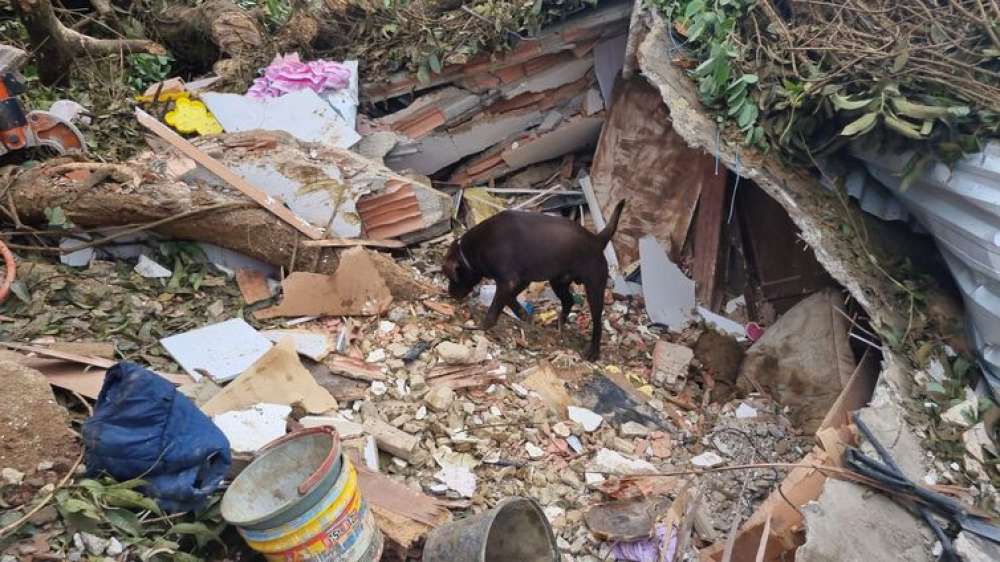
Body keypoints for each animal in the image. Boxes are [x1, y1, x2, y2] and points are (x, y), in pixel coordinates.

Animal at [442, 199, 620, 360]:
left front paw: (482, 327)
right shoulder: (520, 280)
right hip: (558, 282)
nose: (450, 294)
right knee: (569, 301)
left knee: (597, 322)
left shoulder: (509, 281)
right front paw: (523, 315)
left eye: (451, 277)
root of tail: (597, 239)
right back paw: (559, 324)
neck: (472, 249)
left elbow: (494, 309)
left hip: (594, 288)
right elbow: (510, 300)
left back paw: (593, 352)